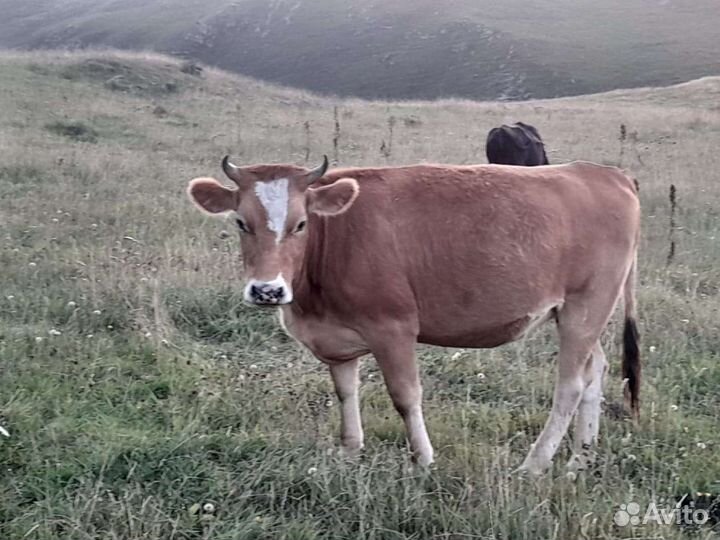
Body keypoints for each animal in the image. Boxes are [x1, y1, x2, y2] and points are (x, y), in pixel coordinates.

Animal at [187, 156, 640, 475]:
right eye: (241, 222)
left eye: (300, 224)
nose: (267, 290)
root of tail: (607, 174)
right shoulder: (336, 337)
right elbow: (345, 391)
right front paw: (350, 450)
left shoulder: (394, 327)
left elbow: (405, 396)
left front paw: (423, 459)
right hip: (576, 313)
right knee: (594, 372)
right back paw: (580, 458)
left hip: (587, 304)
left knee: (570, 385)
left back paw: (535, 464)